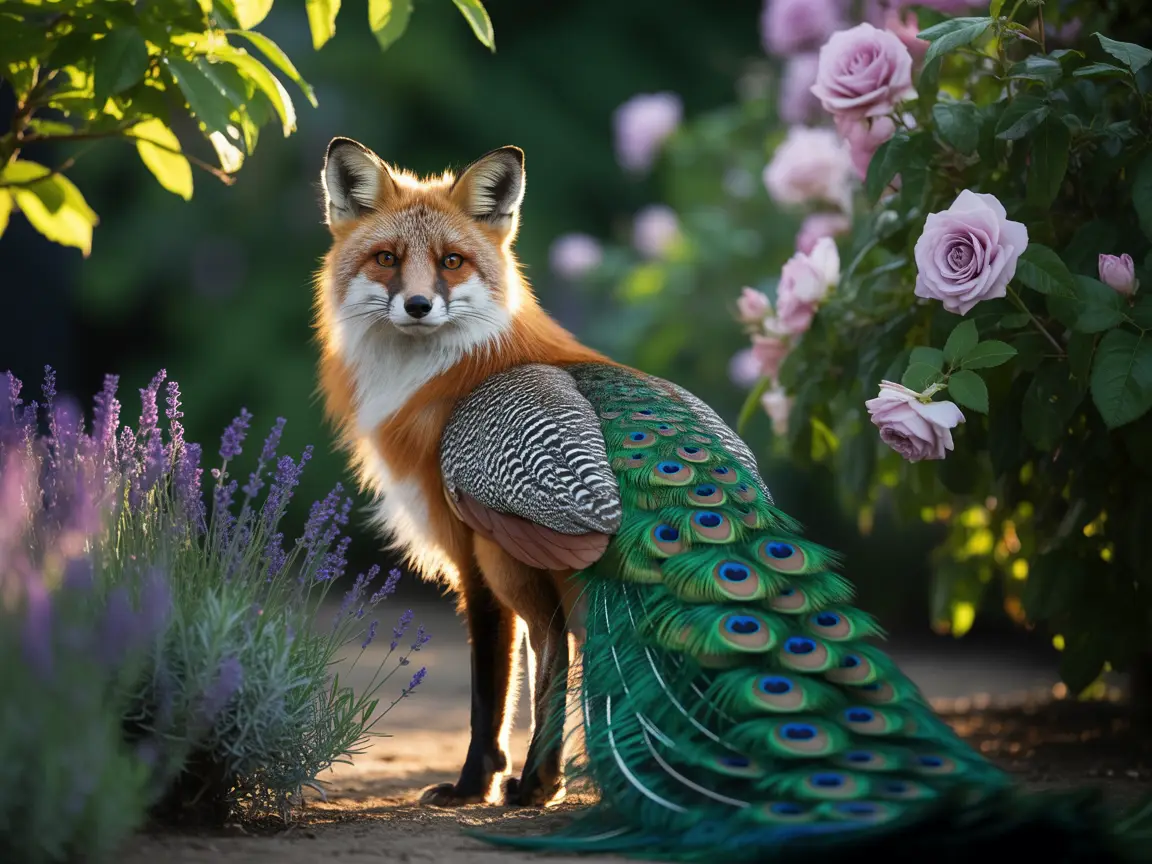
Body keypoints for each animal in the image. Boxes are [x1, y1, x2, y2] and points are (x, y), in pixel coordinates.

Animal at [313, 138, 611, 807]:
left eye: (451, 261)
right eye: (387, 259)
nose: (419, 305)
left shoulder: (472, 560)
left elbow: (487, 691)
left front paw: (475, 782)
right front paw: (503, 780)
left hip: (514, 563)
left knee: (558, 646)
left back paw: (536, 782)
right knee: (559, 647)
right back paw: (545, 782)